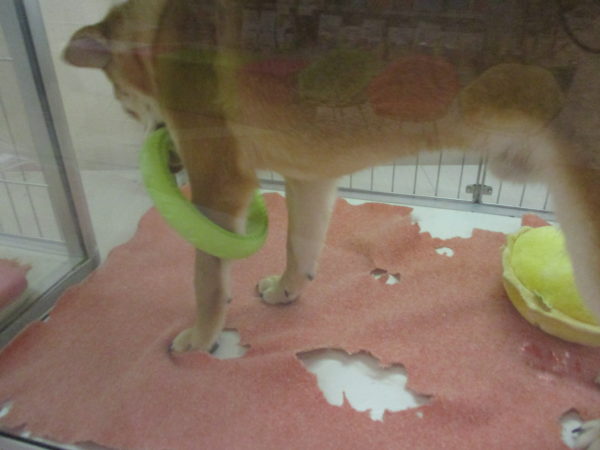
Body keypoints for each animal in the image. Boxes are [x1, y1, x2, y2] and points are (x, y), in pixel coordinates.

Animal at [64, 0, 600, 446]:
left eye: (121, 100)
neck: (158, 29)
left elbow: (207, 280)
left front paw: (199, 340)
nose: (169, 161)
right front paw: (284, 292)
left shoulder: (219, 183)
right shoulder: (310, 177)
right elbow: (299, 247)